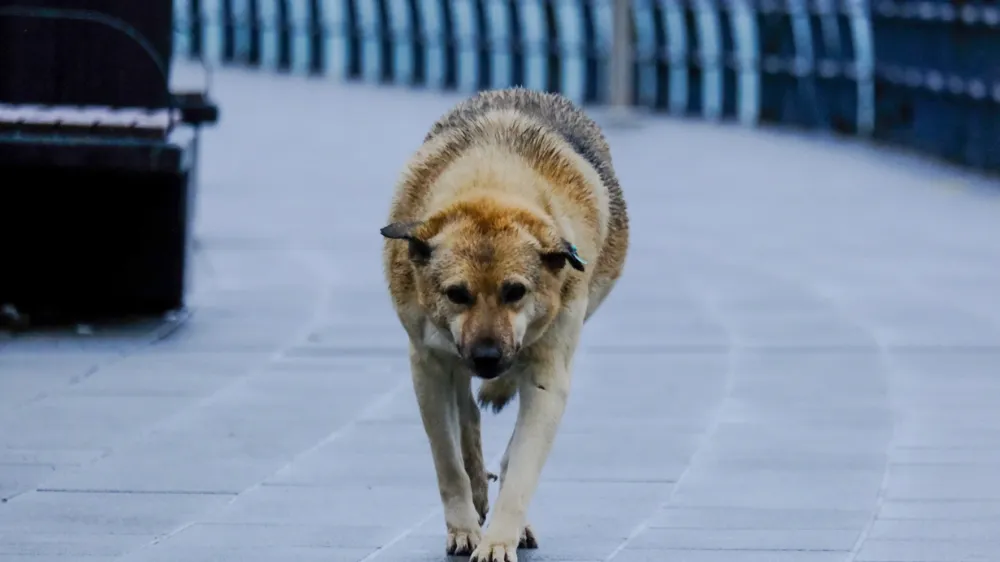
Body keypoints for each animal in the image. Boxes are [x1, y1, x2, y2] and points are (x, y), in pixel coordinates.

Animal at [380, 87, 624, 560]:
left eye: (516, 292)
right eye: (457, 294)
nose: (488, 356)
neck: (492, 186)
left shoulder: (550, 368)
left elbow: (523, 466)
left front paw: (499, 541)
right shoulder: (427, 363)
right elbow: (447, 459)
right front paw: (463, 528)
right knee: (466, 413)